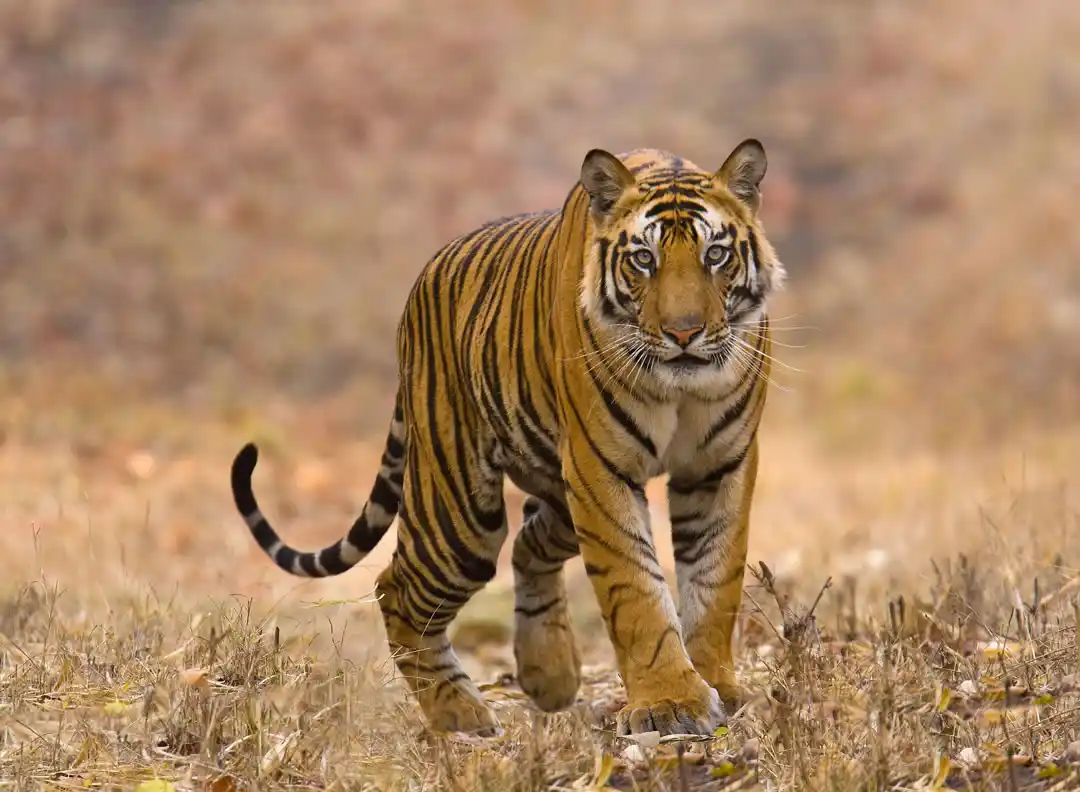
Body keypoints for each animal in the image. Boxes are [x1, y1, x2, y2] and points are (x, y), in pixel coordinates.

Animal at [230, 139, 785, 737]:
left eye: (715, 255)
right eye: (643, 259)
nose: (684, 334)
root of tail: (419, 287)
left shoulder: (718, 467)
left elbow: (715, 580)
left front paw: (719, 687)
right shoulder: (600, 469)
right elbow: (634, 586)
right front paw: (670, 703)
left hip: (557, 494)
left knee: (527, 543)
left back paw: (548, 675)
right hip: (461, 513)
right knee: (397, 588)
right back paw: (459, 712)